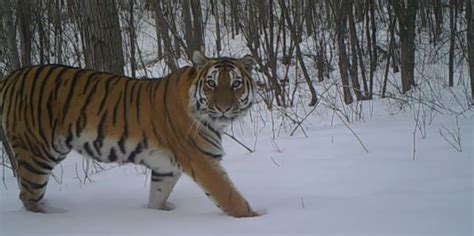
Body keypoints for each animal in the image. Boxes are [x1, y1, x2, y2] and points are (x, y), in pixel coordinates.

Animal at [0, 50, 260, 217]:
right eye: (211, 84)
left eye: (236, 84)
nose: (223, 108)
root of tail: (11, 76)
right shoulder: (202, 161)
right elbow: (231, 197)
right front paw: (256, 218)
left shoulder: (165, 168)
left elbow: (157, 196)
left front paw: (158, 214)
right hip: (37, 153)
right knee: (28, 196)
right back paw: (52, 216)